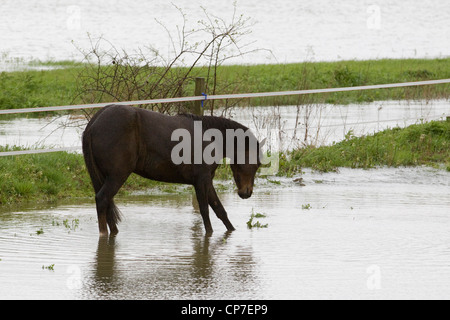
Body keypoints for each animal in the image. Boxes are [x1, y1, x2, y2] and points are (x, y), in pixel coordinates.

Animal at [82, 104, 262, 236]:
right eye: (255, 163)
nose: (246, 192)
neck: (209, 137)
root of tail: (94, 123)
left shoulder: (207, 180)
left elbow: (219, 210)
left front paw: (231, 231)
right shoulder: (201, 180)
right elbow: (205, 211)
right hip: (117, 175)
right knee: (103, 199)